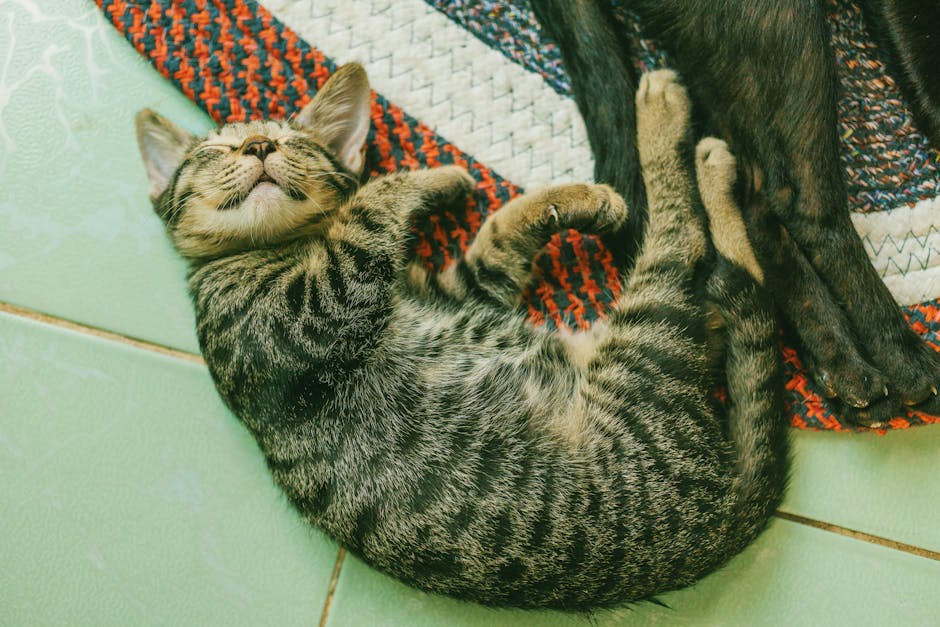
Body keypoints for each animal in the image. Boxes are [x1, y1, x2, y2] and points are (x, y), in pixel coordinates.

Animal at [136, 66, 788, 612]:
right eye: (216, 151)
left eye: (295, 144)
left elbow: (496, 235)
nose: (259, 147)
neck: (290, 246)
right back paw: (665, 119)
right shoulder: (306, 312)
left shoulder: (462, 287)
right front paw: (428, 177)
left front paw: (554, 197)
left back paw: (710, 165)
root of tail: (722, 523)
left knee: (736, 287)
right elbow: (371, 200)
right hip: (645, 347)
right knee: (685, 246)